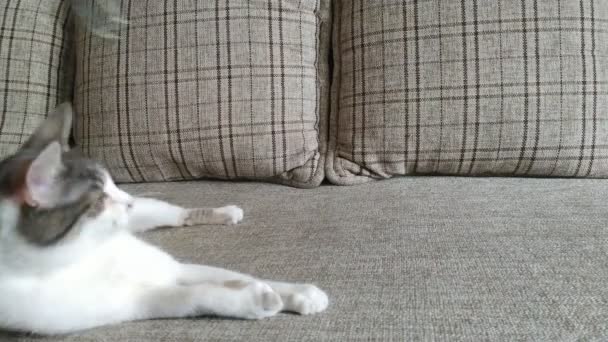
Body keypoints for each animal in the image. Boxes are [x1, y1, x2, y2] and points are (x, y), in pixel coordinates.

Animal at [0, 103, 328, 334]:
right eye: (100, 199)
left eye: (111, 183)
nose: (127, 201)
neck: (83, 253)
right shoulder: (126, 302)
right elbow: (194, 295)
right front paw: (258, 300)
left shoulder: (170, 266)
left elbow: (240, 276)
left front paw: (300, 293)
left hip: (152, 211)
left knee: (178, 214)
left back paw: (226, 212)